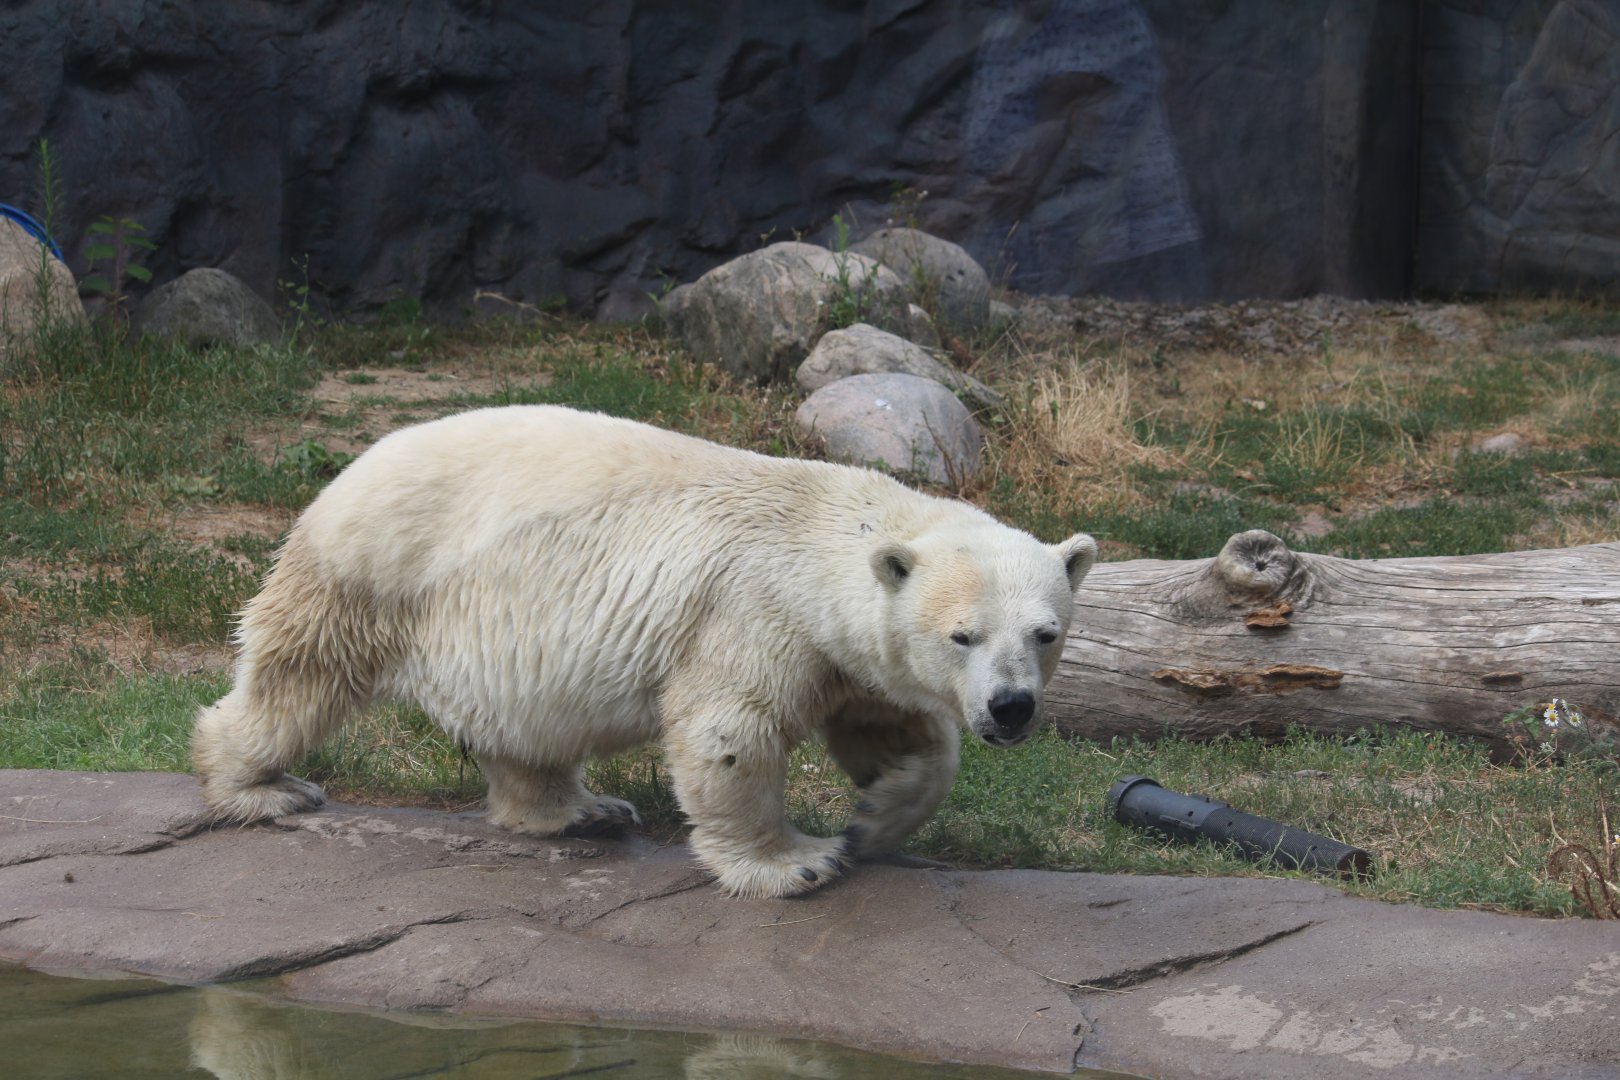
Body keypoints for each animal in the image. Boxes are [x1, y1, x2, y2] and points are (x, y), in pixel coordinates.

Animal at [192, 405, 1096, 899]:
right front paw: (796, 864)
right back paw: (258, 787)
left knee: (527, 726)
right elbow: (730, 731)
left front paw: (877, 816)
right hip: (376, 570)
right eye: (962, 635)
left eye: (1045, 634)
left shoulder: (845, 650)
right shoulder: (755, 613)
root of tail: (352, 467)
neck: (823, 534)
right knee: (299, 677)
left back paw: (577, 810)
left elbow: (893, 729)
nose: (1011, 708)